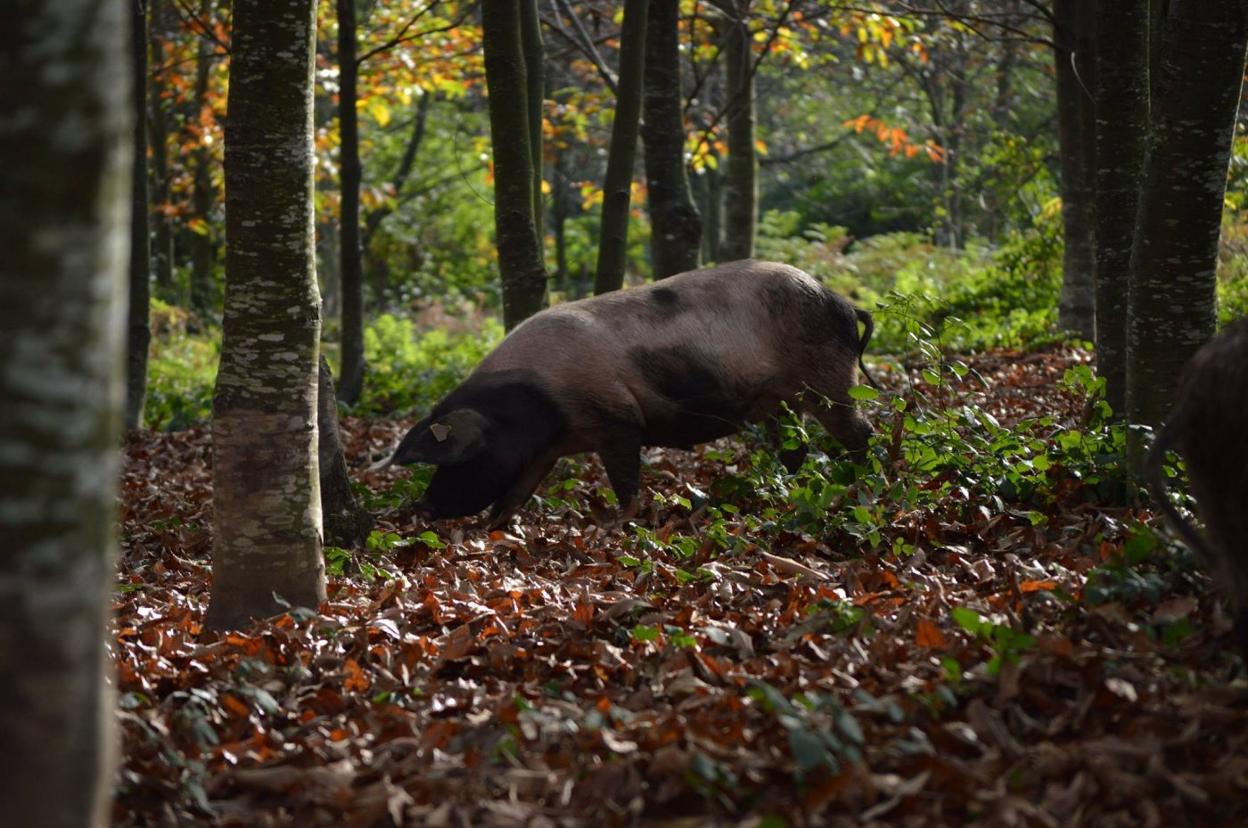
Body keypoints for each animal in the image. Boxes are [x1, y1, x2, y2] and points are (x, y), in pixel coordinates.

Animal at [379, 262, 878, 527]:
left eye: (462, 459)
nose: (423, 504)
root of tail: (843, 302)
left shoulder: (616, 420)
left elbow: (625, 480)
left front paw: (623, 523)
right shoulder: (544, 452)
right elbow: (514, 495)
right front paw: (494, 529)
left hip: (830, 381)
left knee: (861, 432)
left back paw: (865, 482)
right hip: (780, 401)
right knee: (797, 448)